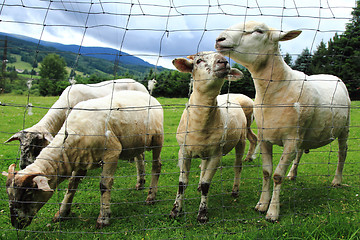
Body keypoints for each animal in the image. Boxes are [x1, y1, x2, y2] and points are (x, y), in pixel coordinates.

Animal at [2, 90, 163, 229]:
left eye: (28, 193)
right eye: (9, 195)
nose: (16, 224)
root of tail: (147, 94)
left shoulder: (112, 153)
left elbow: (104, 185)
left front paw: (103, 218)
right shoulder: (79, 159)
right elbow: (71, 185)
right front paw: (62, 213)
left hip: (157, 139)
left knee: (157, 166)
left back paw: (151, 196)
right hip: (135, 142)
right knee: (139, 159)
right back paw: (140, 183)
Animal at [169, 50, 248, 223]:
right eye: (198, 61)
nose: (223, 61)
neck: (200, 122)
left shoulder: (216, 155)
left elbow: (207, 184)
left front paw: (202, 213)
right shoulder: (183, 152)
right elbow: (182, 183)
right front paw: (175, 210)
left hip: (241, 140)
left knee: (237, 166)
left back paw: (235, 190)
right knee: (203, 166)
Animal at [215, 20, 350, 221]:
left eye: (258, 31)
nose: (220, 39)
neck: (277, 88)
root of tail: (332, 75)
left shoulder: (290, 140)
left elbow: (277, 175)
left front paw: (272, 212)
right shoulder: (266, 138)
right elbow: (266, 172)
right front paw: (262, 204)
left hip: (344, 128)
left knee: (342, 152)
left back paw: (337, 180)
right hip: (303, 134)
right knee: (301, 152)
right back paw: (292, 174)